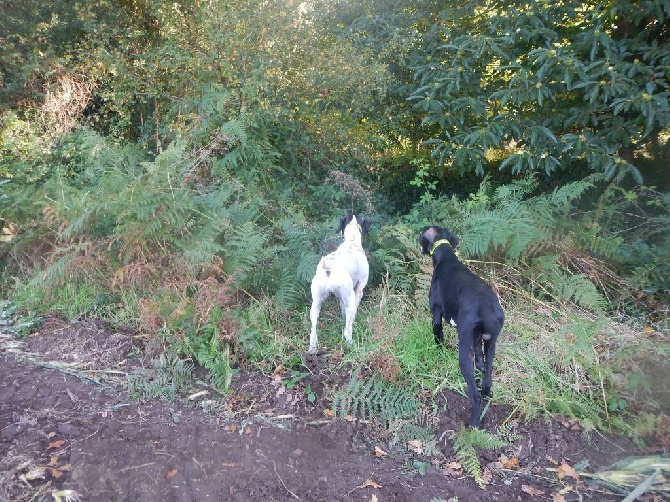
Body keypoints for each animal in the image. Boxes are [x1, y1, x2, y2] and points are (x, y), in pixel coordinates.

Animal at [310, 215, 372, 352]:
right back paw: (353, 345)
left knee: (313, 333)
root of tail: (329, 268)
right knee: (347, 332)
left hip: (315, 304)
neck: (352, 241)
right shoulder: (358, 290)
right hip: (350, 299)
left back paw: (312, 349)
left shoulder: (340, 297)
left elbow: (343, 310)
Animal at [420, 227, 504, 428]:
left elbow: (438, 338)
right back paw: (486, 393)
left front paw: (438, 352)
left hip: (464, 355)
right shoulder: (477, 339)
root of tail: (487, 307)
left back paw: (473, 423)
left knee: (475, 396)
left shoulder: (436, 316)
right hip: (491, 344)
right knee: (487, 380)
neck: (447, 258)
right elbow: (480, 361)